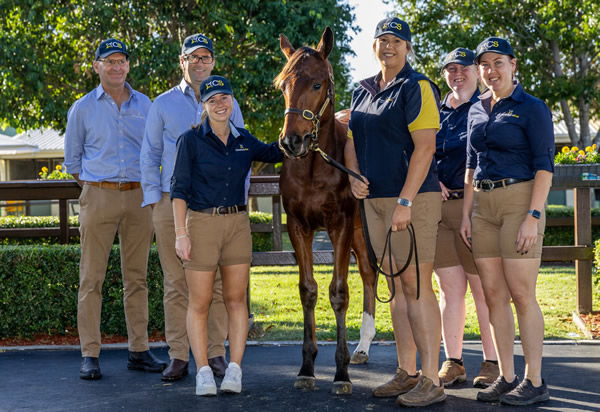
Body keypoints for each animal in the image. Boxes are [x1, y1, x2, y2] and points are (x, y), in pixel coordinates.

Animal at [276, 27, 378, 394]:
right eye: (283, 85)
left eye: (317, 84)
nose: (291, 141)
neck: (313, 166)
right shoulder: (298, 227)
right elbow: (308, 291)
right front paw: (307, 368)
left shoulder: (340, 227)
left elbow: (339, 293)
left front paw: (341, 373)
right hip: (362, 232)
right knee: (370, 275)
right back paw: (363, 347)